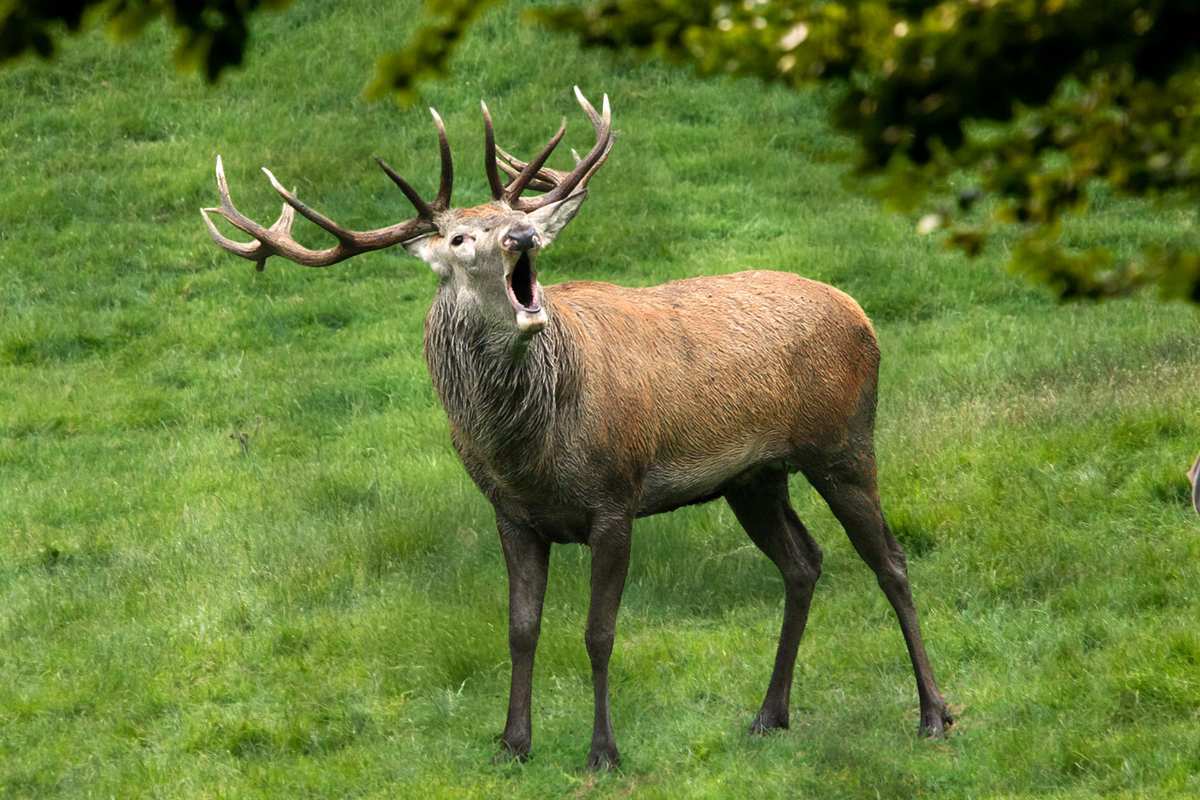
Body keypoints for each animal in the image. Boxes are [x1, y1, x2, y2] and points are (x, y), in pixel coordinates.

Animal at [201, 87, 953, 769]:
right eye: (459, 237)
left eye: (513, 215)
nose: (524, 236)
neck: (530, 451)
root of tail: (862, 315)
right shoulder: (512, 514)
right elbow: (520, 629)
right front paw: (512, 743)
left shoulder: (615, 498)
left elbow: (598, 633)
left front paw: (602, 751)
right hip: (753, 477)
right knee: (803, 563)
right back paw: (770, 714)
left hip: (843, 442)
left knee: (889, 560)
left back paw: (933, 714)